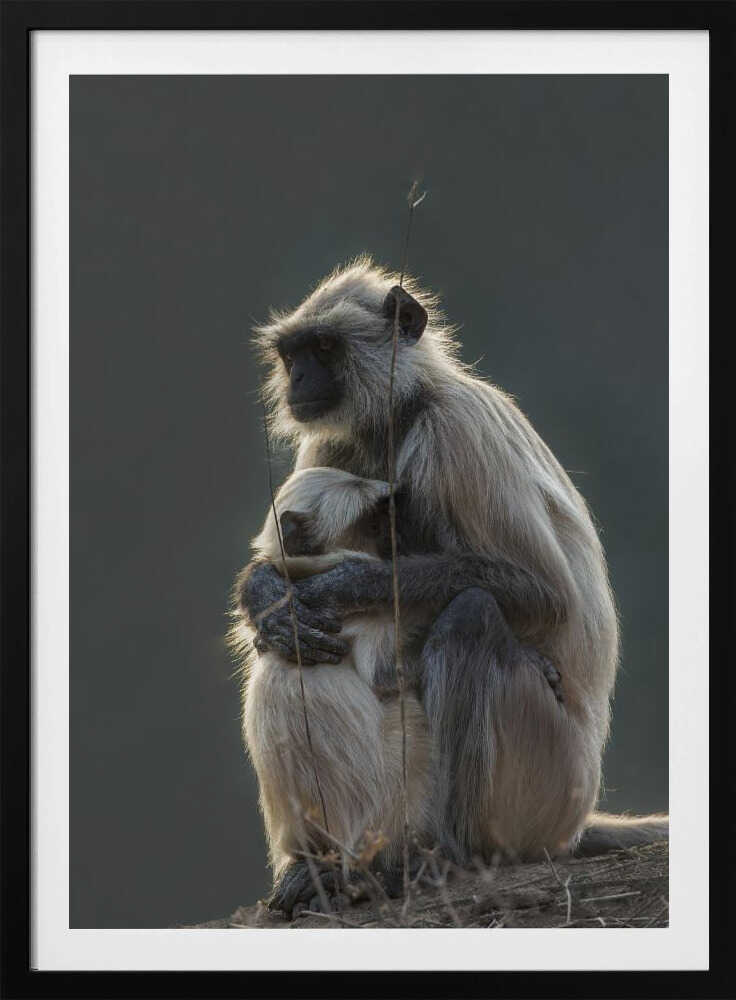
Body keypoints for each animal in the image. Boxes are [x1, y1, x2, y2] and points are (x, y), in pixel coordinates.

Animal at [234, 257, 668, 913]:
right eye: (294, 353)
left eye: (326, 347)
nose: (301, 377)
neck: (404, 408)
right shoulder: (332, 441)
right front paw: (268, 598)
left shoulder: (455, 431)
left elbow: (545, 594)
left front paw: (339, 586)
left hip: (547, 783)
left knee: (473, 613)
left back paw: (446, 857)